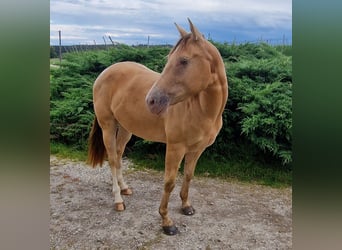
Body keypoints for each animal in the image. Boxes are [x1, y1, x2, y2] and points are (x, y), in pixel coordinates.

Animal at [87, 18, 228, 235]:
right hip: (108, 127)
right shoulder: (175, 148)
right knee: (112, 159)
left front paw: (186, 206)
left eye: (184, 61)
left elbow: (188, 175)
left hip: (125, 129)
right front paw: (166, 222)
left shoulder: (197, 149)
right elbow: (169, 182)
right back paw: (118, 199)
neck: (201, 110)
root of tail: (104, 73)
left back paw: (124, 188)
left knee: (118, 156)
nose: (151, 101)